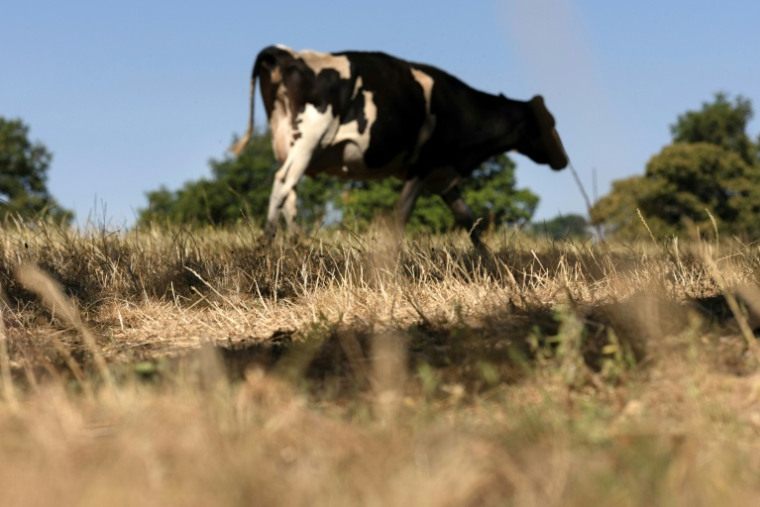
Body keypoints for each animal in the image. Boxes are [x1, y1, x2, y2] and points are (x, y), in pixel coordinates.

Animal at [230, 45, 568, 245]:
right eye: (549, 123)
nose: (563, 160)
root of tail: (289, 53)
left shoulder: (443, 176)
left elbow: (468, 221)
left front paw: (495, 269)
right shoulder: (421, 166)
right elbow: (402, 214)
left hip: (288, 144)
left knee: (291, 194)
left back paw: (297, 247)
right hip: (310, 138)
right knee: (282, 184)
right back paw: (266, 245)